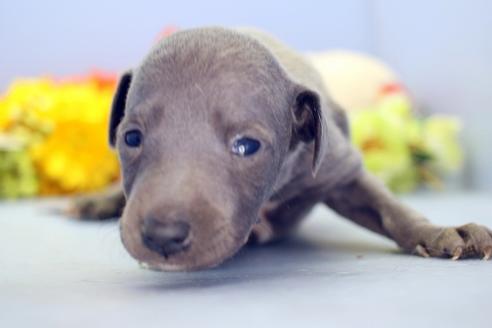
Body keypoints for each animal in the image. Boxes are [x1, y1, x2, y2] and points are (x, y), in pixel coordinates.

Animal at [70, 26, 492, 270]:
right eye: (131, 138)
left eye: (247, 145)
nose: (162, 236)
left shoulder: (338, 168)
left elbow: (390, 209)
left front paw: (439, 232)